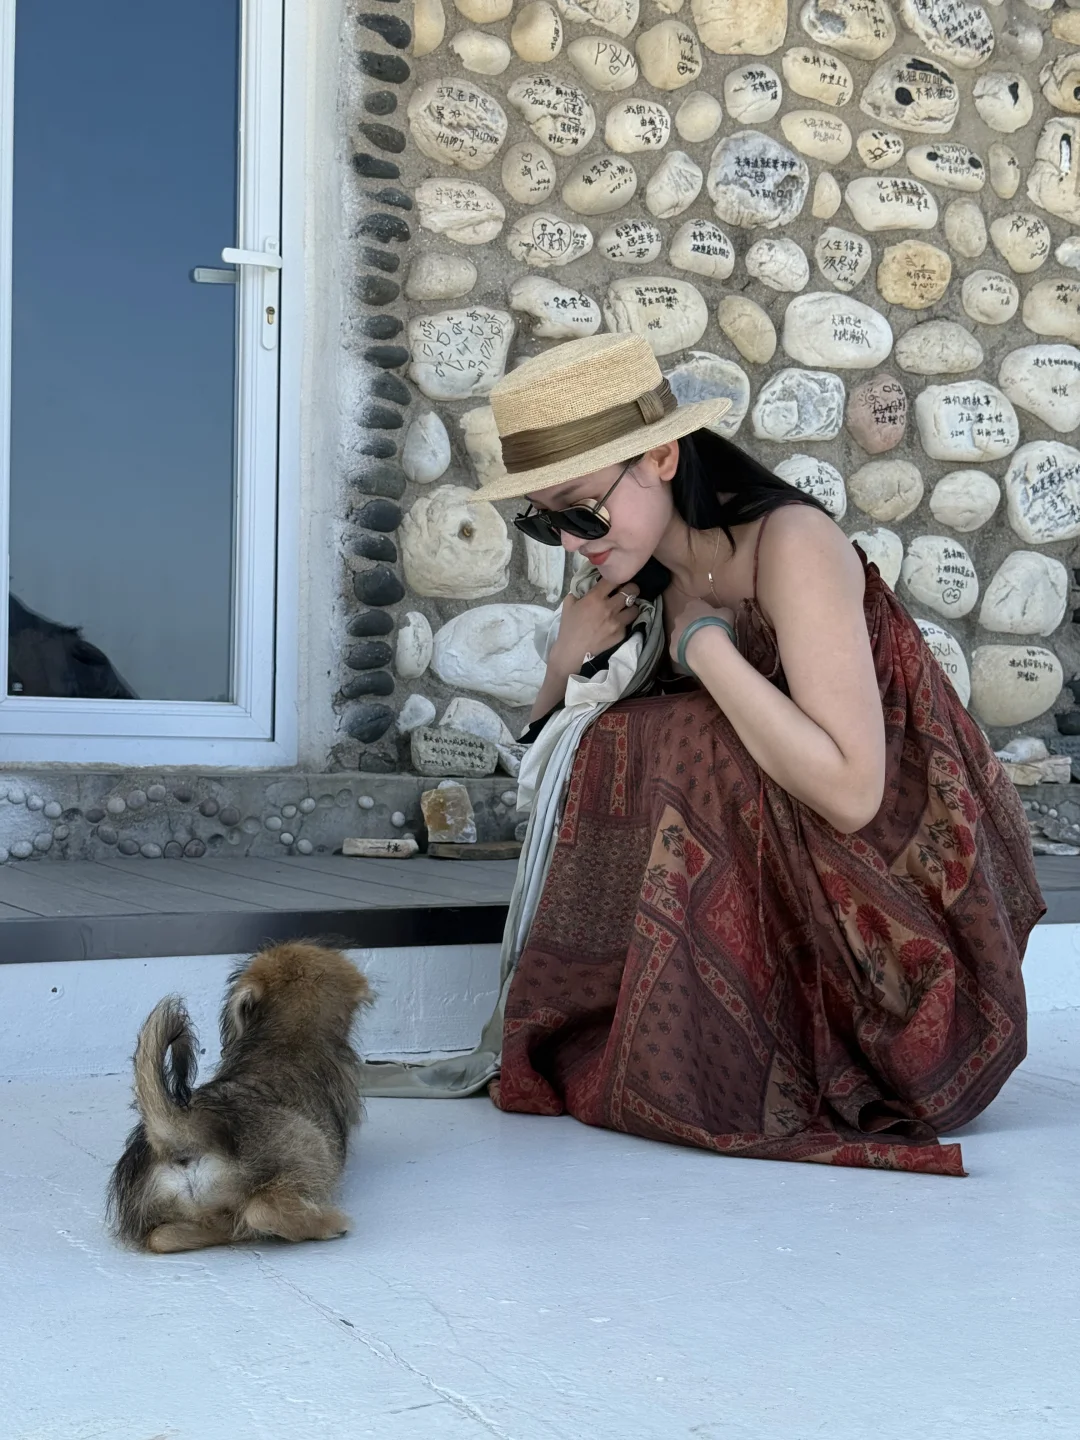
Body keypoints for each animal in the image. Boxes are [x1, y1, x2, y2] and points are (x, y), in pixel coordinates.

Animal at [107, 942, 371, 1253]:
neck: (287, 1033)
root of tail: (182, 1132)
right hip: (311, 1150)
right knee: (261, 1210)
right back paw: (327, 1224)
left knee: (164, 1237)